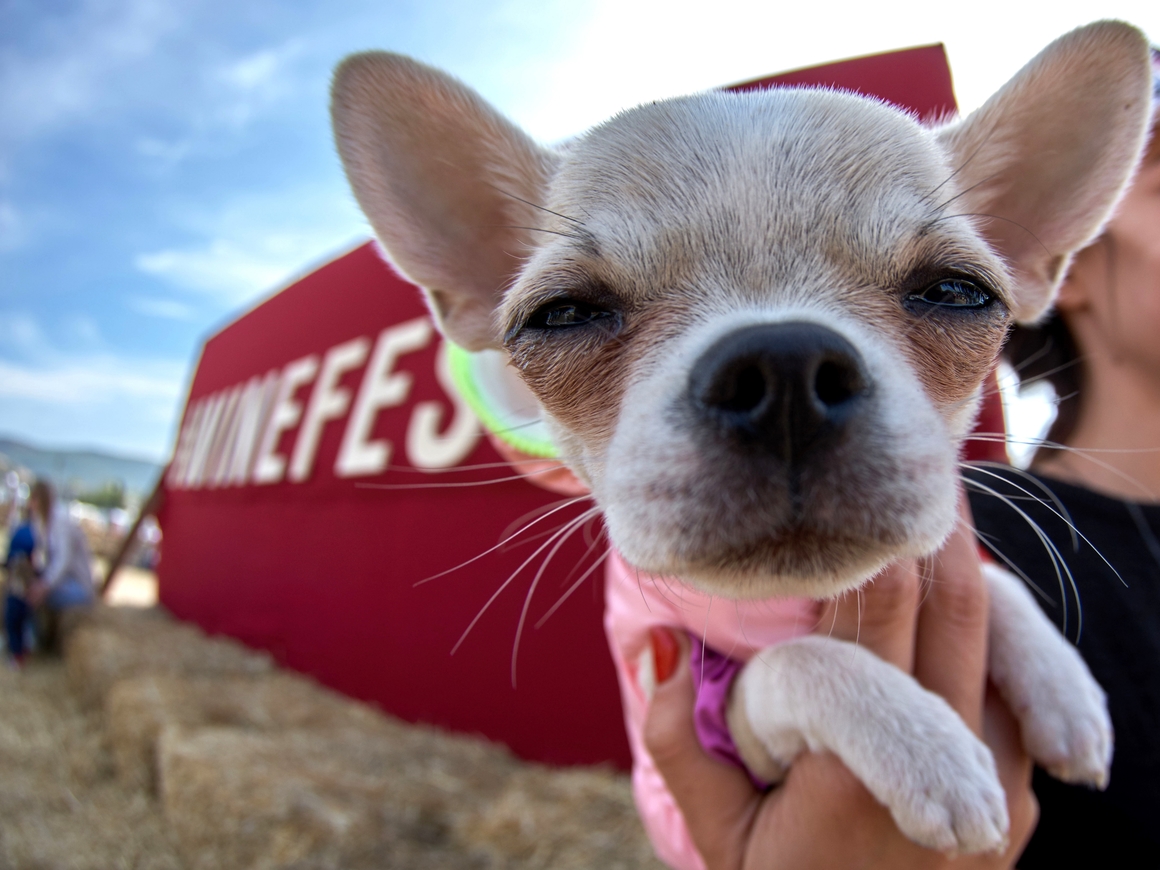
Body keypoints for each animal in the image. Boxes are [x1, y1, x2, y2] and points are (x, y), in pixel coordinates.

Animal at [331, 20, 1155, 858]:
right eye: (562, 315)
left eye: (958, 293)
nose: (785, 367)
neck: (782, 598)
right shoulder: (712, 715)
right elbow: (791, 662)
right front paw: (924, 745)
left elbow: (995, 584)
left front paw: (1062, 686)